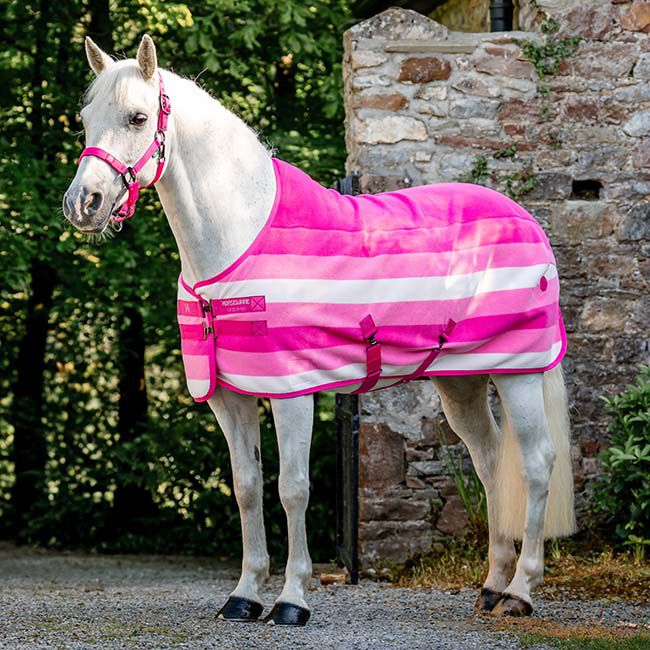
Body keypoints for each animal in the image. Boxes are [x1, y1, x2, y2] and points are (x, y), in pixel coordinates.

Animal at [63, 35, 575, 625]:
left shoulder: (292, 392)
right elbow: (246, 487)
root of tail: (525, 219)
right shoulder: (230, 397)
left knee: (535, 464)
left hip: (518, 373)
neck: (238, 240)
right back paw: (491, 585)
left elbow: (293, 489)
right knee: (490, 460)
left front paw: (292, 600)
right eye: (85, 120)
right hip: (462, 380)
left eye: (138, 117)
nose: (82, 204)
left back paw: (520, 592)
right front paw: (243, 595)